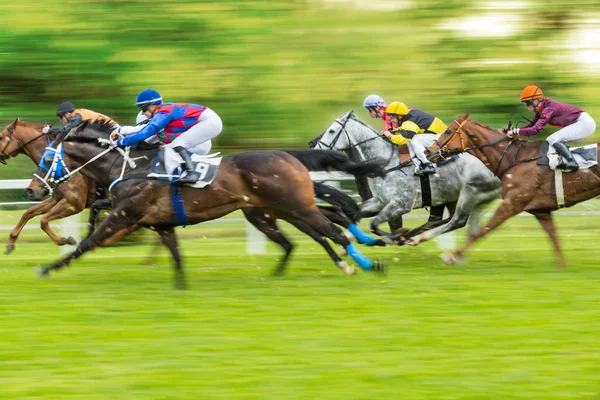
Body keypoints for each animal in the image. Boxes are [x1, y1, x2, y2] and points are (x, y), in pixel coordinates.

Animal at [0, 117, 101, 253]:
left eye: (1, 137)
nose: (29, 191)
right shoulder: (57, 197)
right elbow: (29, 212)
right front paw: (10, 242)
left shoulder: (74, 203)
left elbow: (43, 220)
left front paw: (65, 240)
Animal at [27, 120, 384, 290]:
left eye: (46, 158)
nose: (32, 190)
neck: (127, 166)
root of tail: (285, 154)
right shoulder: (159, 222)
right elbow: (175, 255)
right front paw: (181, 287)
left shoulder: (124, 215)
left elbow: (86, 243)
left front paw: (49, 267)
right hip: (281, 208)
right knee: (322, 226)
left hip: (292, 205)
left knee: (331, 230)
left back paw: (363, 262)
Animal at [310, 111, 502, 245]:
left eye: (332, 131)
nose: (315, 148)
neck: (387, 163)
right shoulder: (380, 201)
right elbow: (357, 213)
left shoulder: (401, 204)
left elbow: (375, 225)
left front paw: (397, 236)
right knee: (450, 220)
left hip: (471, 191)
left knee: (456, 220)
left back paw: (414, 236)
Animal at [424, 112, 596, 268]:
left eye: (448, 131)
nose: (427, 151)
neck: (514, 158)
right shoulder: (541, 211)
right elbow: (554, 236)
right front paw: (562, 265)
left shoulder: (511, 204)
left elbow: (482, 231)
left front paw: (453, 257)